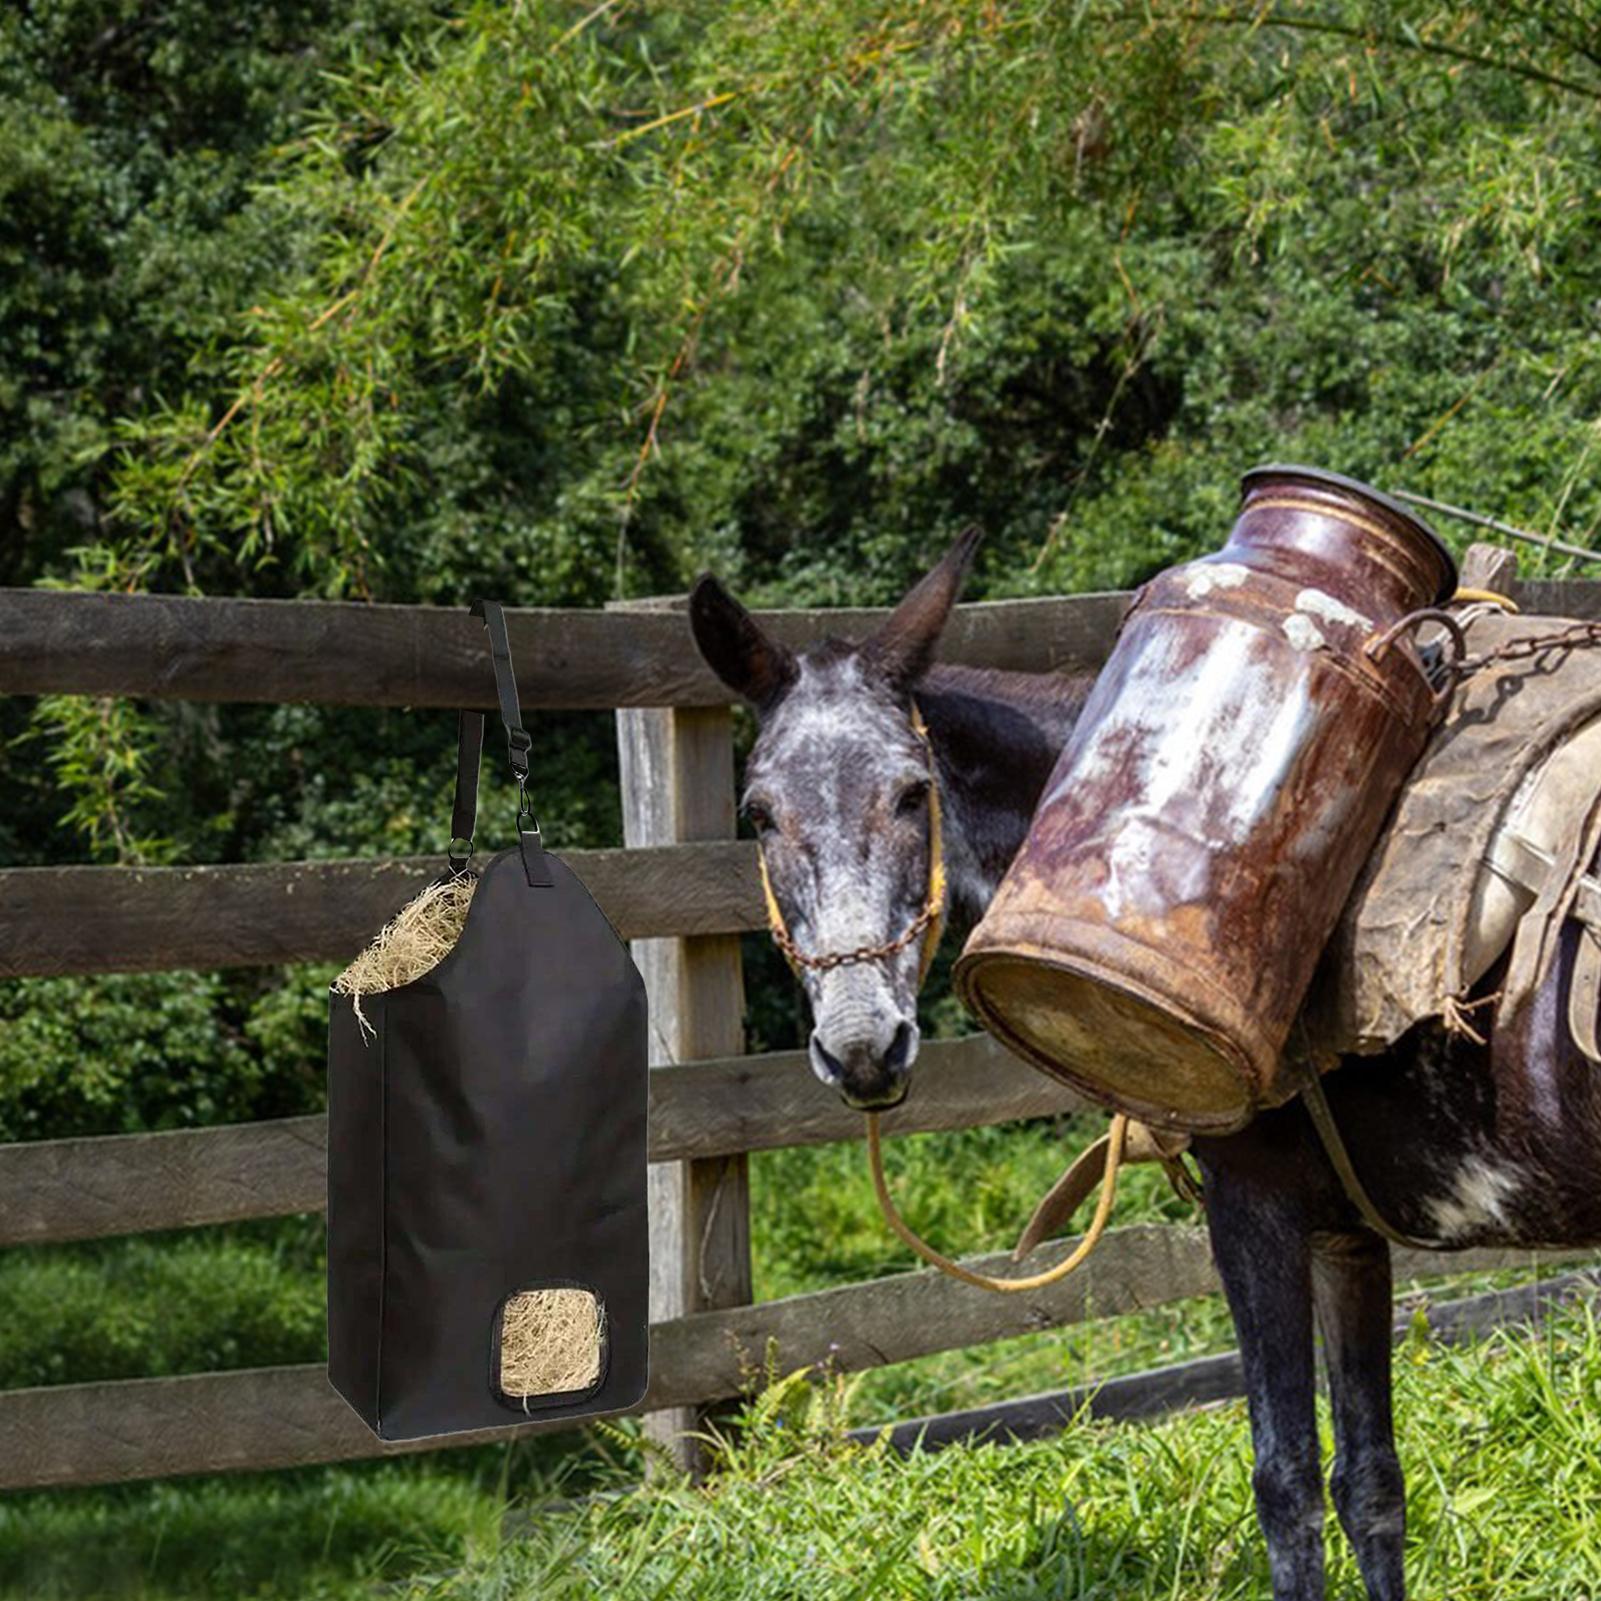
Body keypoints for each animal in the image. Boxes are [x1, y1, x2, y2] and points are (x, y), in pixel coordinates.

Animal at [687, 529, 1601, 1601]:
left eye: (912, 793)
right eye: (758, 814)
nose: (863, 1046)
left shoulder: (1253, 1205)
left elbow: (1288, 1484)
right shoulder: (1345, 1231)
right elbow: (1371, 1483)